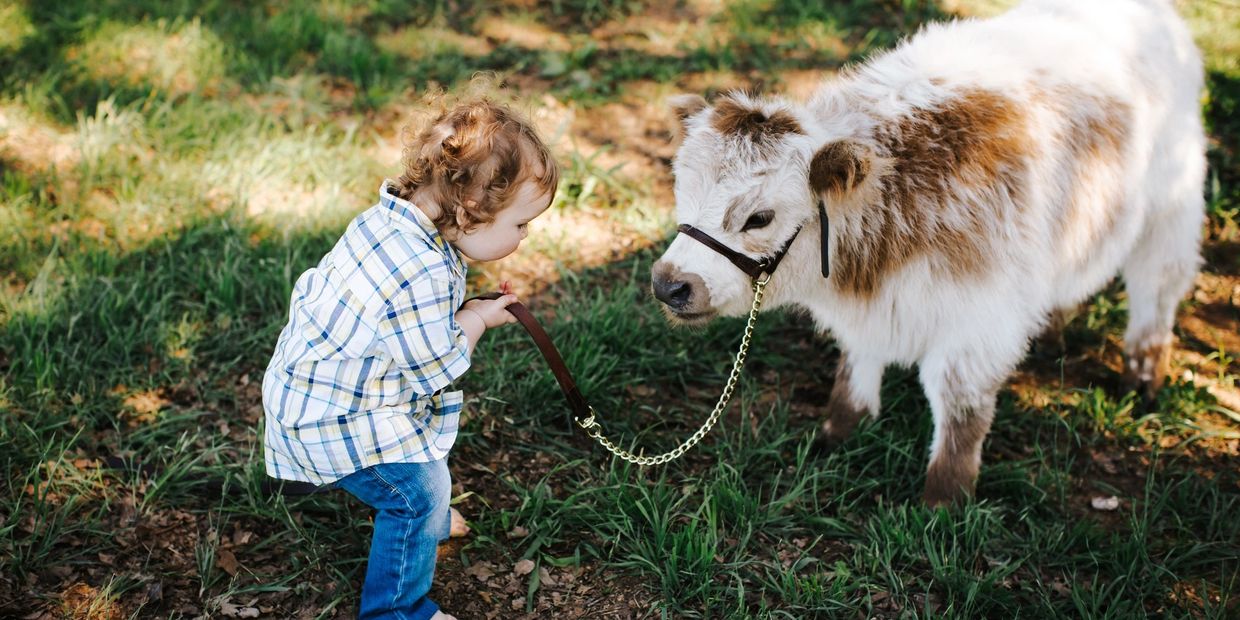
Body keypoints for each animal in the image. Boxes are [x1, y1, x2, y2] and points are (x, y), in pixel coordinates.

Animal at [650, 0, 1206, 506]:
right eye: (682, 190)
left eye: (759, 218)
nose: (669, 283)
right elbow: (857, 366)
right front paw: (841, 433)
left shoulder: (978, 324)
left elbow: (959, 408)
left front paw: (944, 501)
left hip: (1172, 209)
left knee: (1157, 288)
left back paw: (1143, 376)